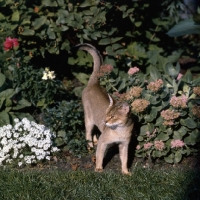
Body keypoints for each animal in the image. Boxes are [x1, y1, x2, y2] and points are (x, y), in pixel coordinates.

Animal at [72, 43, 134, 175]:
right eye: (107, 114)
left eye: (112, 116)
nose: (105, 121)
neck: (120, 131)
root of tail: (94, 83)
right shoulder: (103, 142)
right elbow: (100, 156)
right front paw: (99, 168)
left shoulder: (124, 145)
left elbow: (125, 159)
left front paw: (125, 172)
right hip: (88, 119)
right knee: (88, 133)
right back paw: (90, 146)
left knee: (95, 130)